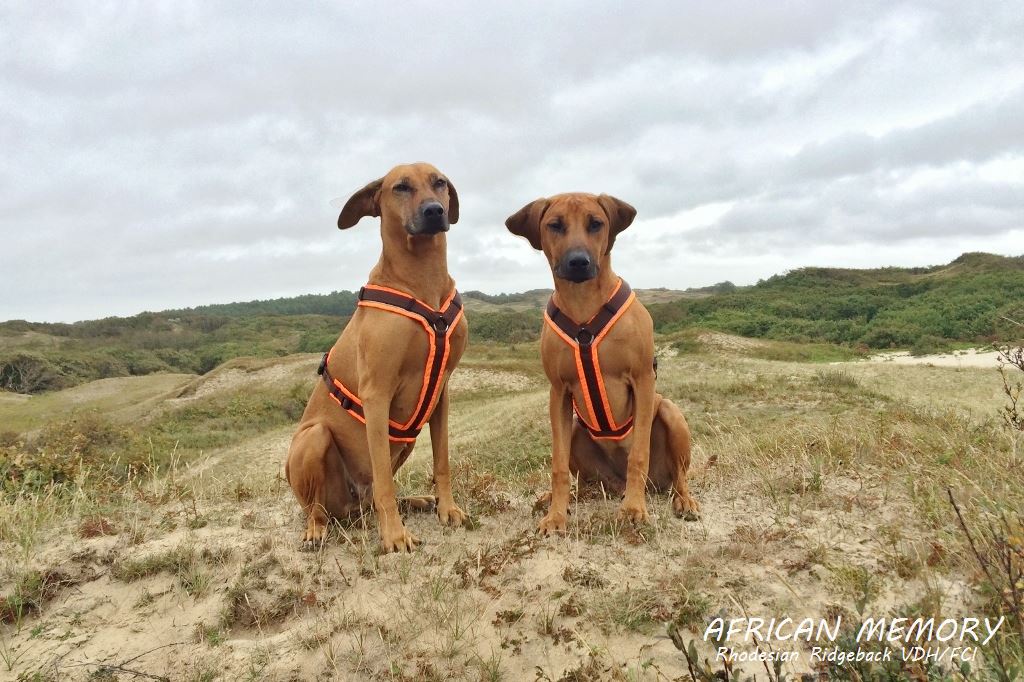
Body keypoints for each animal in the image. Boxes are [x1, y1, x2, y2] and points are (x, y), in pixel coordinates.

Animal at [285, 163, 467, 552]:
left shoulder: (441, 393)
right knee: (320, 508)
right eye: (400, 187)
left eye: (439, 183)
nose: (435, 211)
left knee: (372, 500)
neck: (421, 283)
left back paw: (416, 501)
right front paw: (395, 535)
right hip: (314, 439)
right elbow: (384, 480)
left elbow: (442, 461)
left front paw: (447, 508)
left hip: (406, 442)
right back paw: (315, 529)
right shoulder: (377, 395)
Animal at [505, 193, 700, 533]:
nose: (578, 262)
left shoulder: (643, 379)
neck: (583, 306)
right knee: (581, 484)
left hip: (670, 413)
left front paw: (634, 510)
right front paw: (556, 515)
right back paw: (559, 499)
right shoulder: (558, 391)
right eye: (555, 225)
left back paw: (683, 500)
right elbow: (557, 466)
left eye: (595, 223)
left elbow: (638, 454)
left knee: (679, 476)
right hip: (576, 431)